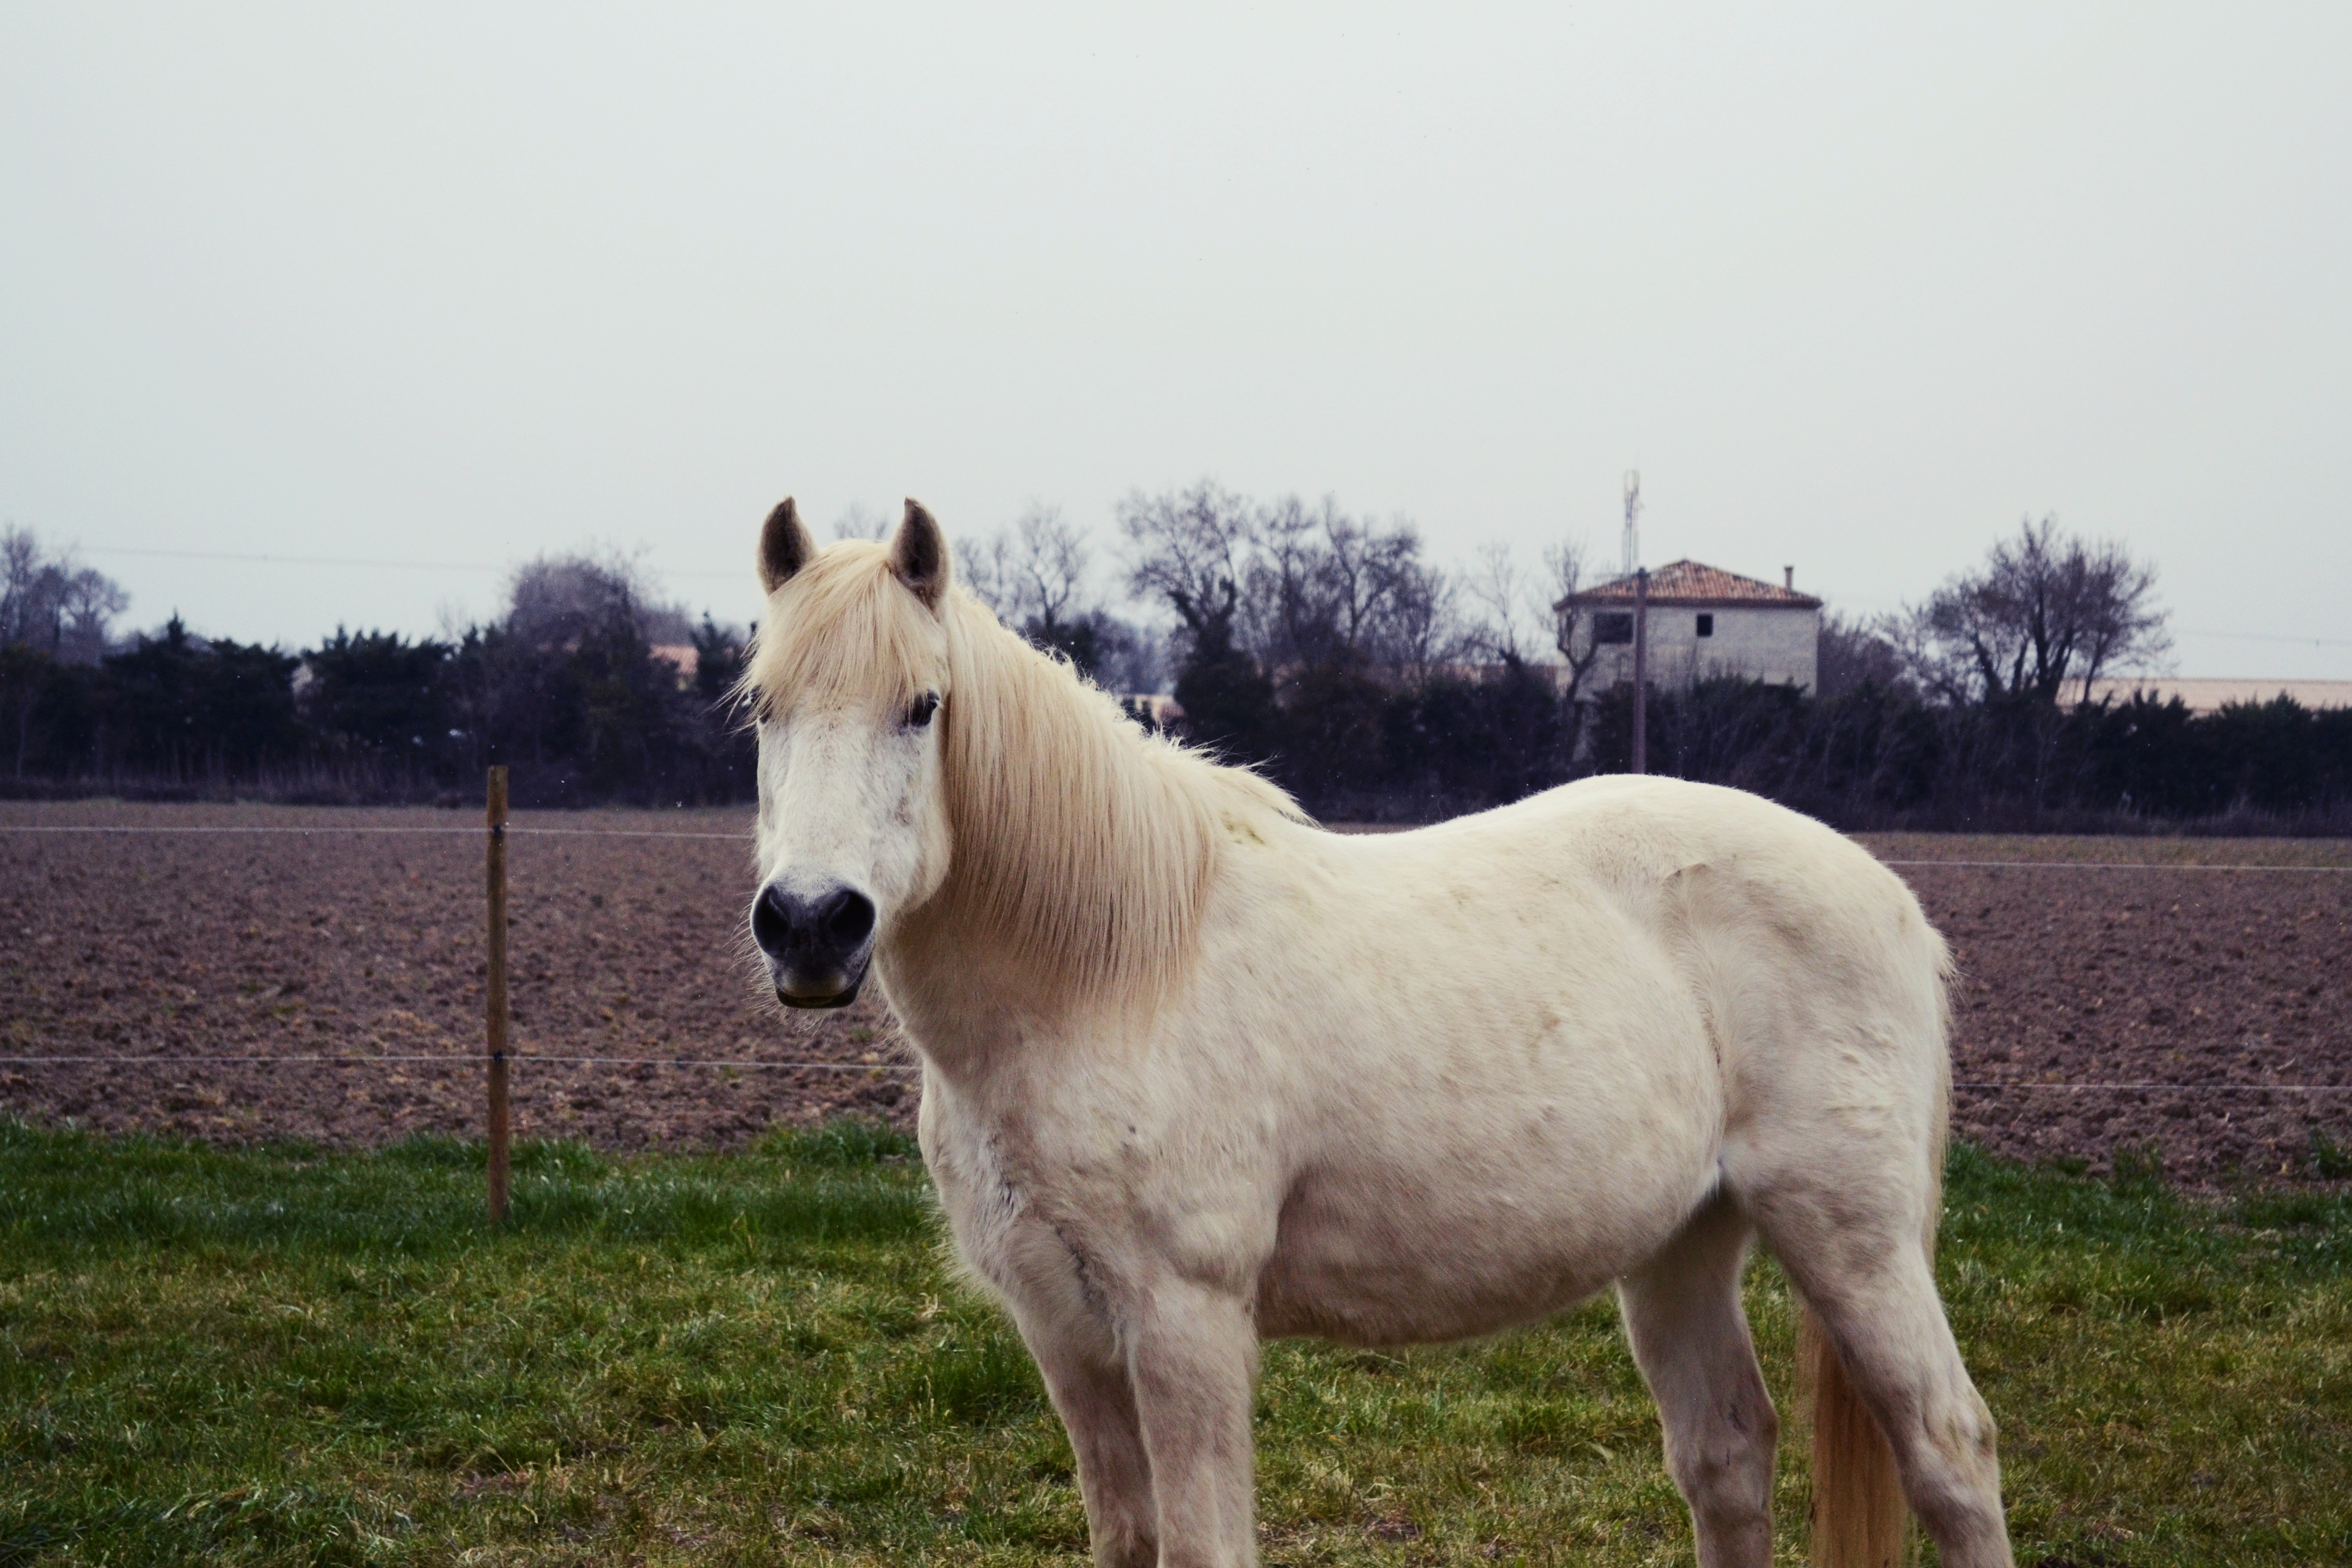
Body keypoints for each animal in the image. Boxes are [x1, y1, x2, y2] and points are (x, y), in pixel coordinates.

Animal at [743, 503, 2013, 1568]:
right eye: (763, 708)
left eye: (923, 705)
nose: (811, 923)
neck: (1113, 974)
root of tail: (1895, 903)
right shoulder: (1064, 1332)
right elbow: (1131, 1540)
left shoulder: (1187, 1320)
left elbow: (1205, 1546)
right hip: (1682, 1243)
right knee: (1728, 1456)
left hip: (1853, 1238)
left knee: (1951, 1453)